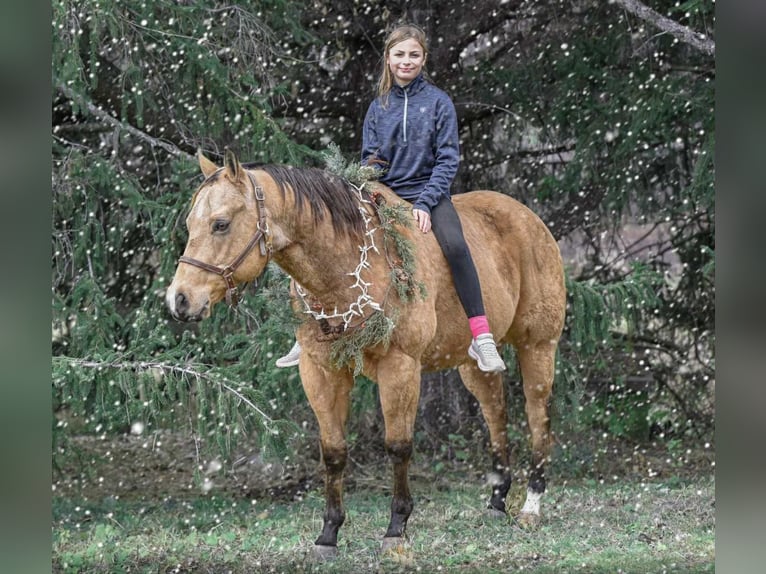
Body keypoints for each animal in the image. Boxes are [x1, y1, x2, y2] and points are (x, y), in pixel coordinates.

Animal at [166, 148, 566, 558]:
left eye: (221, 224)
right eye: (191, 223)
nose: (179, 300)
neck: (342, 271)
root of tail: (530, 219)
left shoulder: (400, 367)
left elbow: (398, 446)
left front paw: (396, 528)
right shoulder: (320, 373)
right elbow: (334, 452)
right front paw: (328, 534)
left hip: (538, 346)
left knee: (538, 417)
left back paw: (531, 506)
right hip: (472, 364)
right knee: (496, 413)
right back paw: (498, 501)